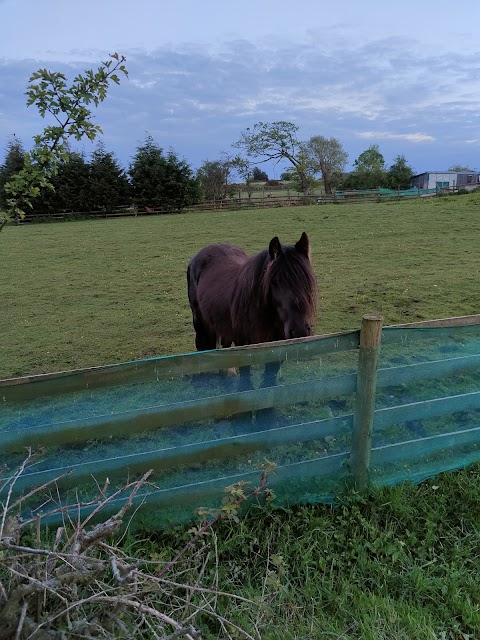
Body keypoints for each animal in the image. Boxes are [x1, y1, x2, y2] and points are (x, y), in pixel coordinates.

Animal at [188, 232, 318, 388]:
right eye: (274, 282)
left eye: (306, 280)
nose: (299, 331)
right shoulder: (243, 345)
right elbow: (246, 381)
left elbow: (268, 381)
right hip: (200, 321)